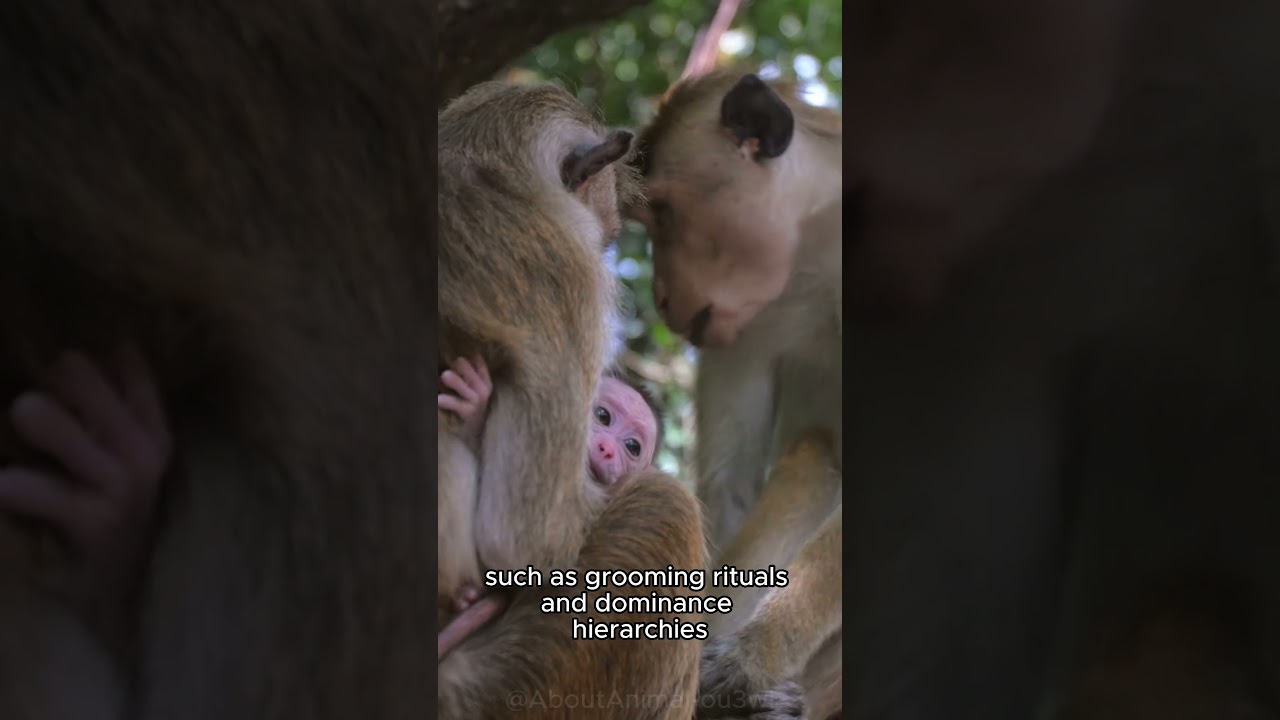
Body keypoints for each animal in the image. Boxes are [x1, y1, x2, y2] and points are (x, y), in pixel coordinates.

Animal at [436, 80, 705, 719]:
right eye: (600, 417)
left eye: (628, 442)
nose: (605, 449)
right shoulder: (568, 278)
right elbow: (524, 543)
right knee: (666, 504)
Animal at [632, 70, 844, 719]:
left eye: (665, 212)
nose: (661, 296)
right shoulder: (745, 324)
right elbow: (731, 488)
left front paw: (754, 658)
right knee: (816, 453)